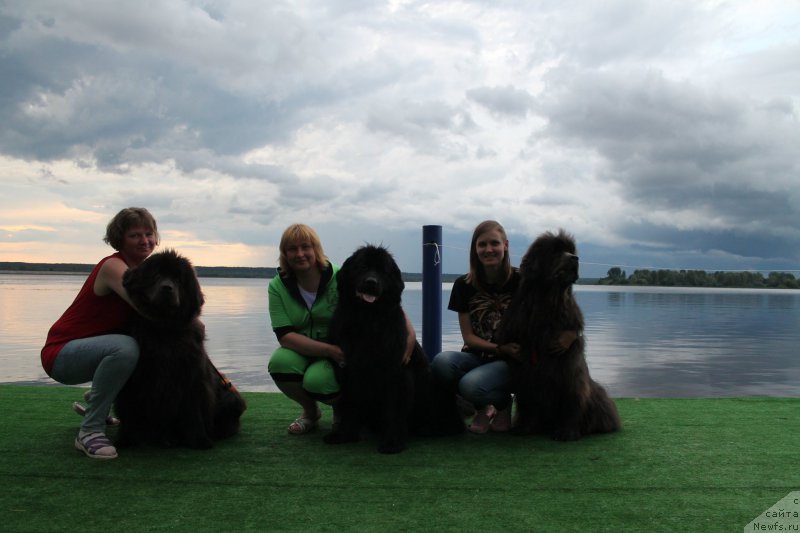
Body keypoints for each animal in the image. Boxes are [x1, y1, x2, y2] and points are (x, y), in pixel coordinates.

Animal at [112, 248, 244, 444]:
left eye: (179, 280)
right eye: (157, 275)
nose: (167, 287)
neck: (164, 329)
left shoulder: (192, 376)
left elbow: (193, 409)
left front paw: (200, 440)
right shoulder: (135, 378)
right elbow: (130, 411)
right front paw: (126, 440)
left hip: (230, 397)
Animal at [324, 245, 462, 454]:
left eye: (383, 271)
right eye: (362, 266)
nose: (371, 282)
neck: (367, 321)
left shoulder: (395, 373)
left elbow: (394, 411)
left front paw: (392, 443)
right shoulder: (348, 371)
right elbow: (349, 404)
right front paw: (343, 435)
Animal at [496, 230, 620, 440]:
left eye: (571, 251)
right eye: (555, 251)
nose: (575, 258)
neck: (548, 303)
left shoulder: (569, 369)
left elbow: (571, 399)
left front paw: (566, 432)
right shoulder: (526, 371)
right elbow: (529, 402)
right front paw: (526, 428)